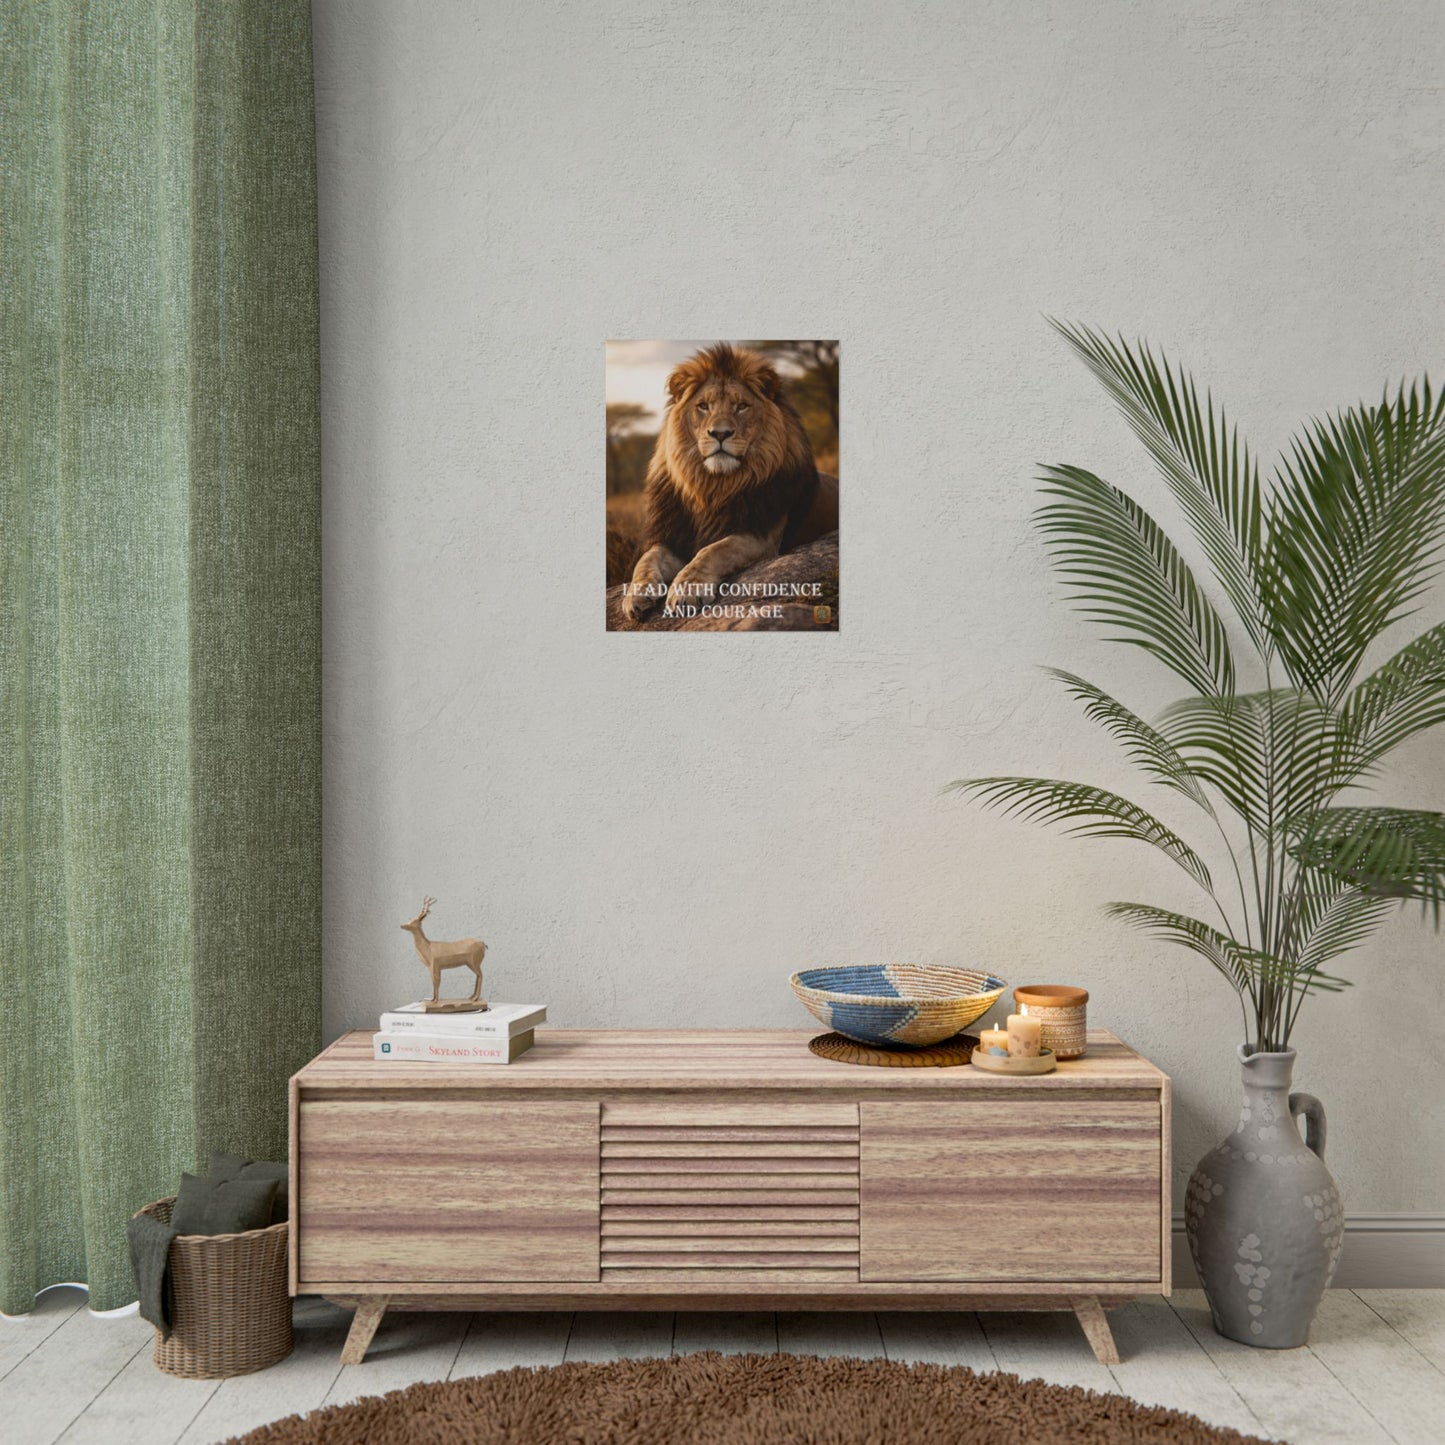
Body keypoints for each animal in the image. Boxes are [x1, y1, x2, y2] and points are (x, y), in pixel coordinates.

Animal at [622, 343, 836, 622]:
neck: (713, 487)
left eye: (742, 406)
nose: (720, 433)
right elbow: (646, 559)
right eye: (703, 406)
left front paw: (687, 590)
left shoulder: (761, 535)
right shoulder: (672, 536)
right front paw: (636, 594)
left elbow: (713, 550)